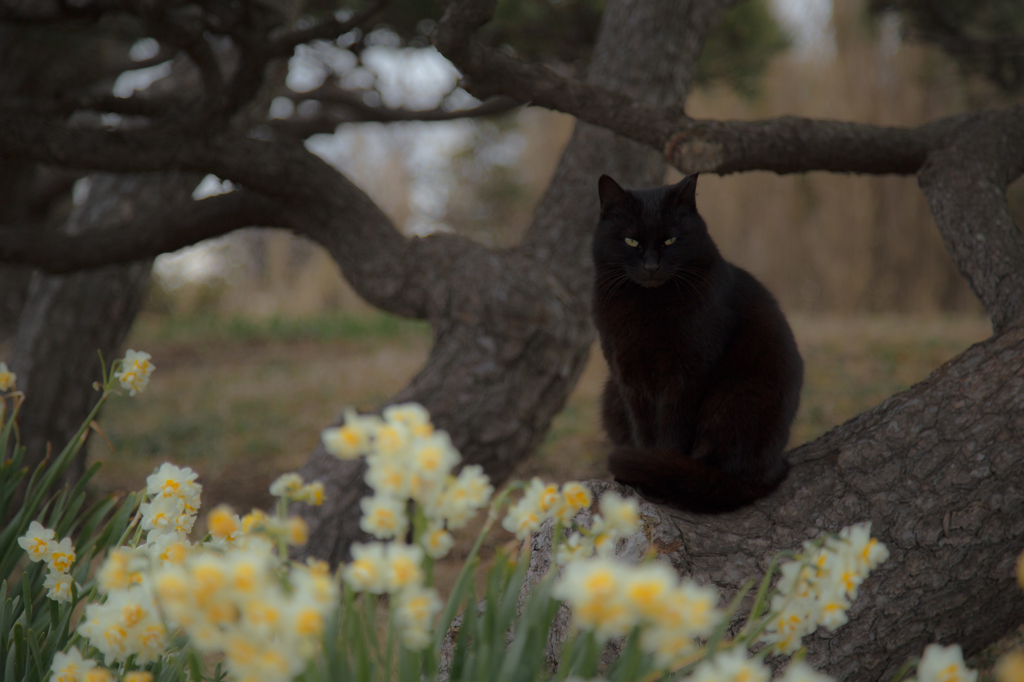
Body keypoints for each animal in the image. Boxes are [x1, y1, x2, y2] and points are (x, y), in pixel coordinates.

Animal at [598, 174, 802, 509]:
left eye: (670, 241)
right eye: (631, 242)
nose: (651, 267)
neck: (648, 306)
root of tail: (773, 467)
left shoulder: (686, 375)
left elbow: (671, 432)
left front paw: (654, 478)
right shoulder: (628, 377)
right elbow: (643, 430)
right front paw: (640, 473)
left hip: (736, 395)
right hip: (610, 395)